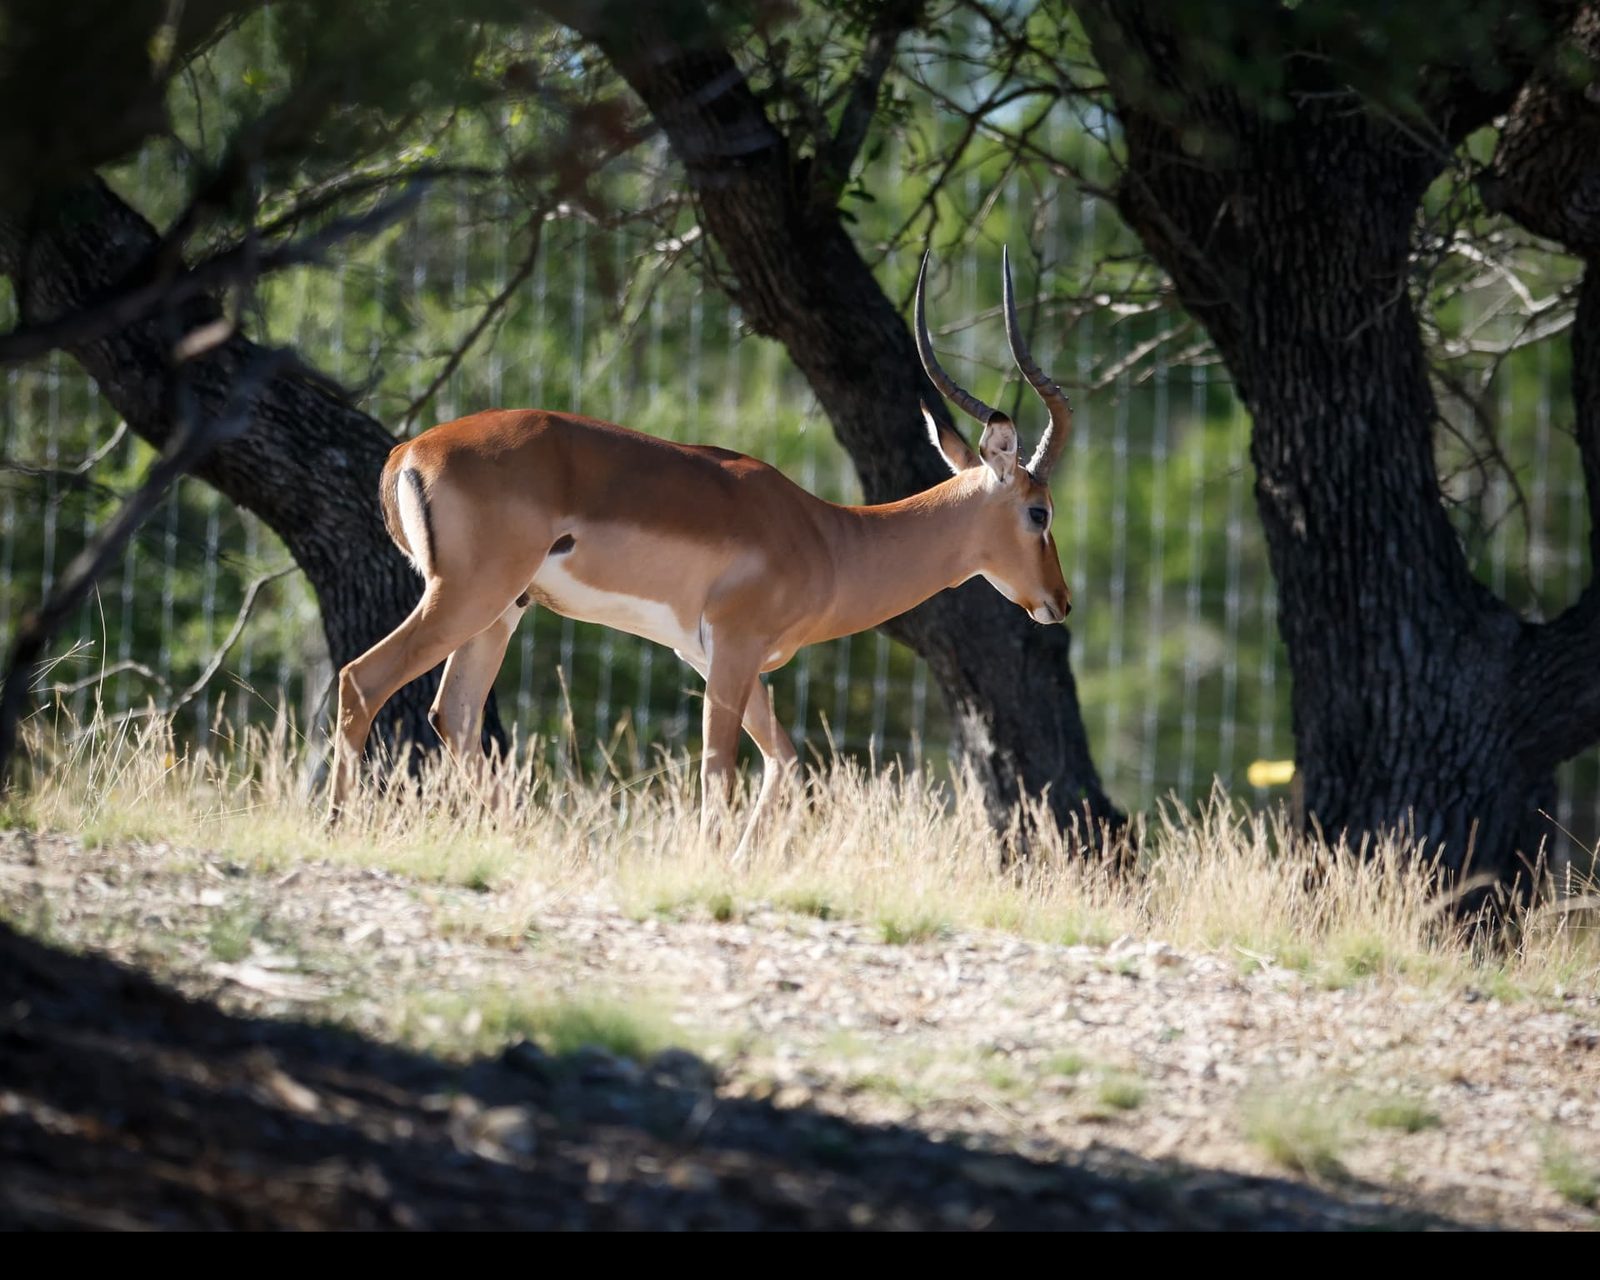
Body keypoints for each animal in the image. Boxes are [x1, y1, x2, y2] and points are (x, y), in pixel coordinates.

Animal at [330, 248, 1075, 853]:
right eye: (1039, 511)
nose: (1061, 602)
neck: (829, 537)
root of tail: (410, 451)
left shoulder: (710, 656)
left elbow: (784, 761)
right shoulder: (735, 650)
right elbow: (719, 770)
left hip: (501, 610)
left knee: (452, 713)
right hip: (466, 595)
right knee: (362, 680)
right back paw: (338, 823)